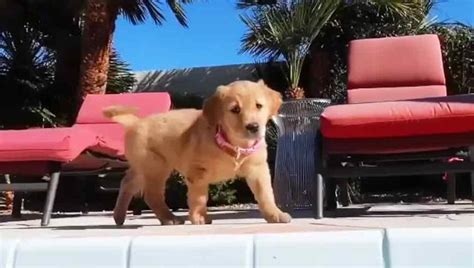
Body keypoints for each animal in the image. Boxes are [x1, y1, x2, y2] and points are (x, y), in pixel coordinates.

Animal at [102, 80, 290, 226]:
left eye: (259, 106)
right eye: (235, 109)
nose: (253, 127)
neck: (234, 145)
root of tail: (137, 122)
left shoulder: (258, 169)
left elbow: (266, 194)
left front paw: (275, 215)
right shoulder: (198, 172)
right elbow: (199, 197)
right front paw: (199, 217)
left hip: (143, 167)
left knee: (127, 183)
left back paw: (119, 216)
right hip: (156, 166)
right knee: (151, 195)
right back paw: (170, 218)